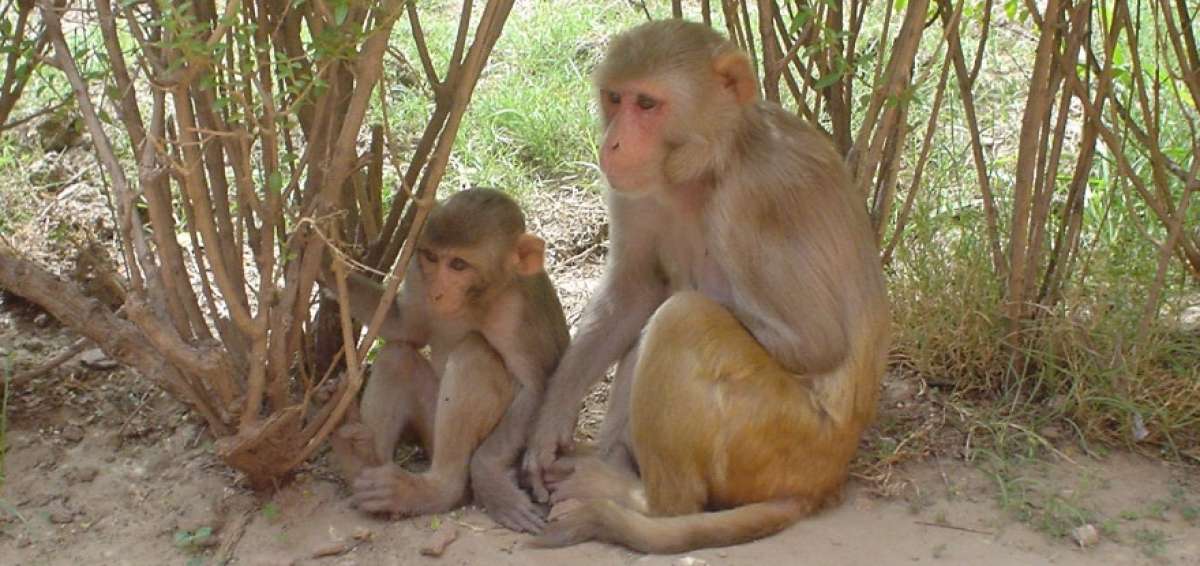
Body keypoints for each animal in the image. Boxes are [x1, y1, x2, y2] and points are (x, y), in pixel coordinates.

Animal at [329, 187, 569, 534]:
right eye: (432, 258)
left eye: (458, 264)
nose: (437, 292)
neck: (477, 299)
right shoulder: (417, 274)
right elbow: (406, 329)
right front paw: (324, 265)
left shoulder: (517, 311)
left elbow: (537, 387)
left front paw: (490, 481)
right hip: (428, 430)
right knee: (398, 356)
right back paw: (360, 462)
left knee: (473, 352)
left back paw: (436, 489)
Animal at [523, 20, 890, 553]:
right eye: (615, 98)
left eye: (647, 104)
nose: (612, 144)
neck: (711, 163)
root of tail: (826, 481)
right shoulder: (636, 191)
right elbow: (635, 292)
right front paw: (549, 424)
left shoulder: (757, 198)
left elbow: (817, 342)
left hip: (781, 437)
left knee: (682, 317)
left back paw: (646, 502)